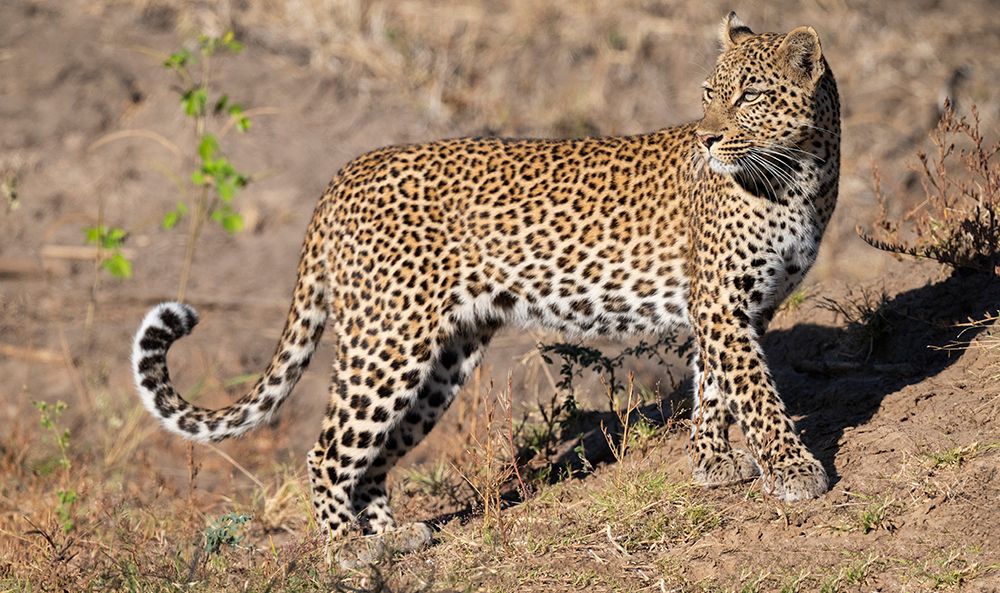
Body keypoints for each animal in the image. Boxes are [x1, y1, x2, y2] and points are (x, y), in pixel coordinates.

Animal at [132, 12, 840, 544]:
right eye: (709, 96)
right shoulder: (721, 302)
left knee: (375, 454)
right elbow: (756, 393)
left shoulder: (738, 307)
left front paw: (713, 464)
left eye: (751, 96)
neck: (802, 177)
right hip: (387, 341)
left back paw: (392, 537)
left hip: (442, 357)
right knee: (327, 451)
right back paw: (346, 555)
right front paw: (796, 472)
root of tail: (346, 173)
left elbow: (716, 387)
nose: (707, 138)